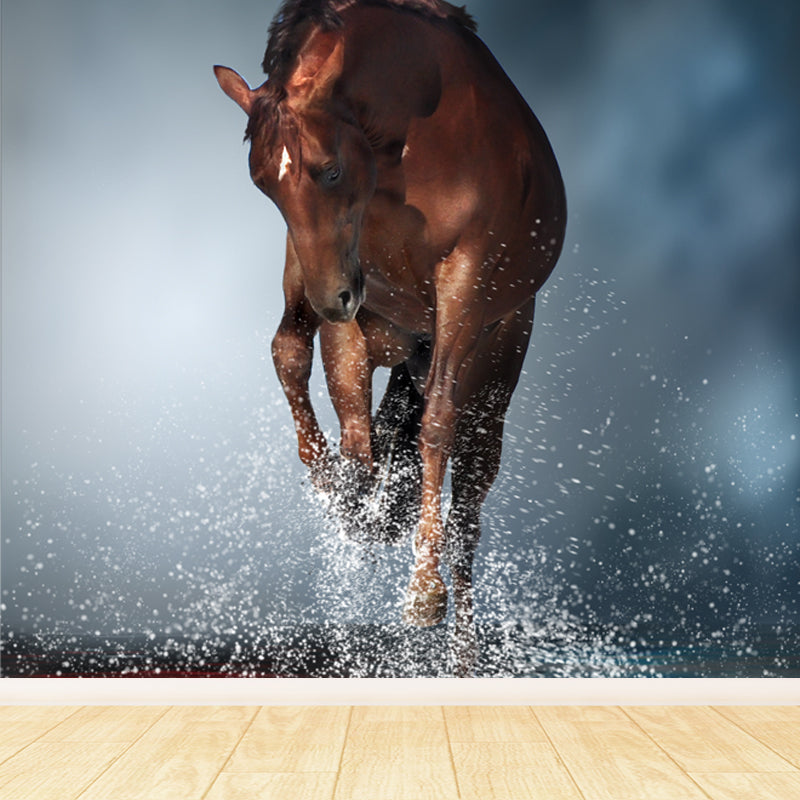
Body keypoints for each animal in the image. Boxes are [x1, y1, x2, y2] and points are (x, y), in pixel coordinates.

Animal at [215, 0, 566, 675]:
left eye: (329, 170)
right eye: (263, 185)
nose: (335, 300)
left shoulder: (462, 282)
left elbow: (434, 426)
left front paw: (424, 593)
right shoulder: (333, 279)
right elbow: (333, 408)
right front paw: (346, 501)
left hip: (495, 368)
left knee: (468, 505)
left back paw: (462, 648)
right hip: (368, 321)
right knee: (324, 385)